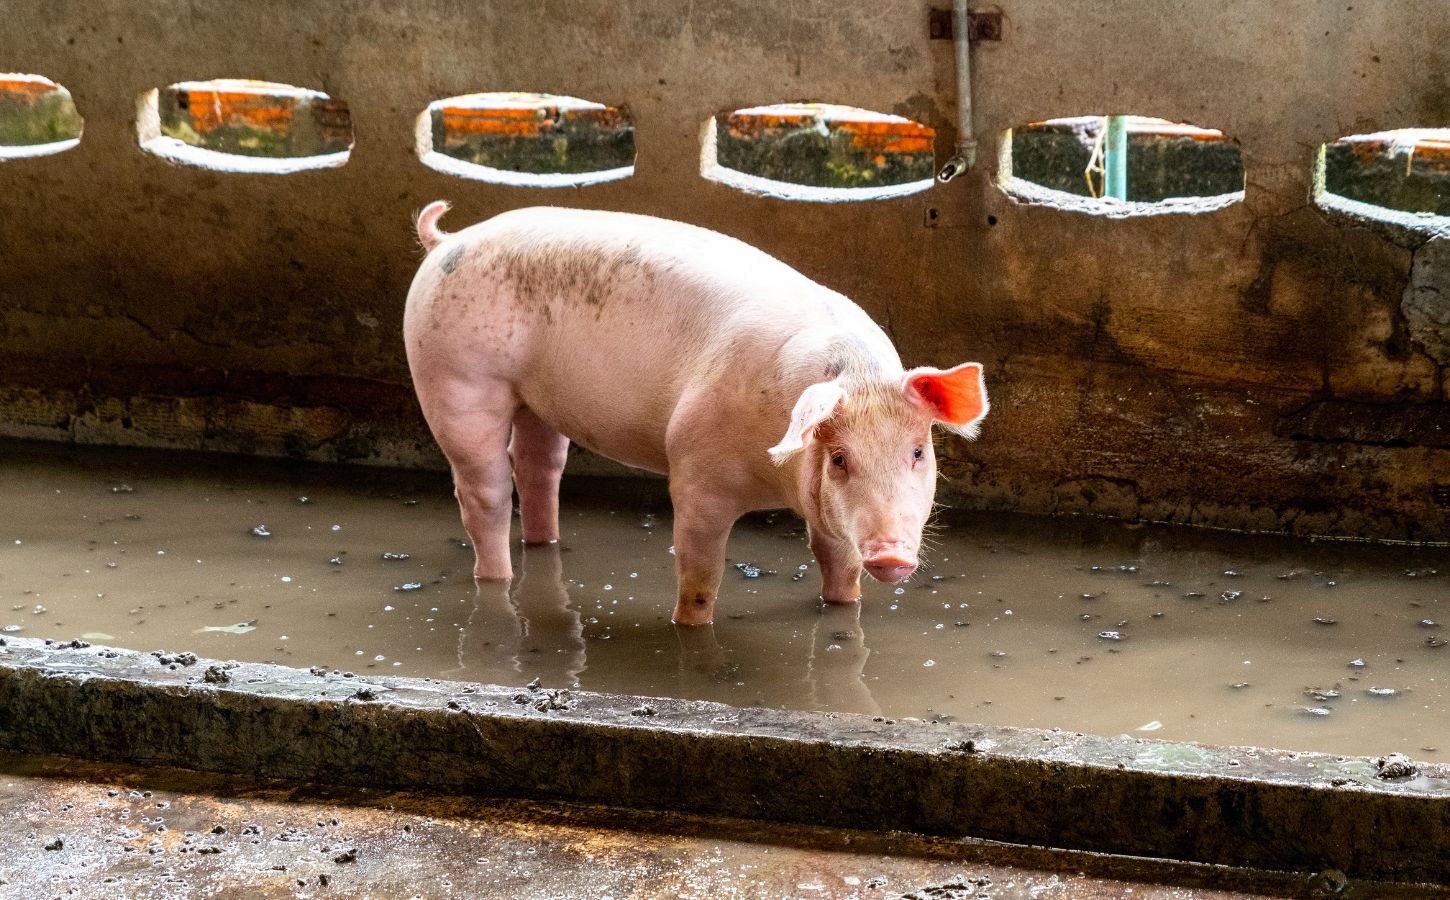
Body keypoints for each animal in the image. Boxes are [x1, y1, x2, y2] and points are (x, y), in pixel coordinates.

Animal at [403, 202, 986, 626]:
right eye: (840, 457)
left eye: (917, 451)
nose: (891, 555)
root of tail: (445, 241)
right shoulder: (695, 472)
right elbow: (700, 573)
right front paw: (688, 626)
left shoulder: (828, 513)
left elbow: (838, 565)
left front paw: (845, 608)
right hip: (456, 377)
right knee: (484, 491)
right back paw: (495, 578)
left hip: (535, 399)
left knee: (539, 467)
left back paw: (544, 543)